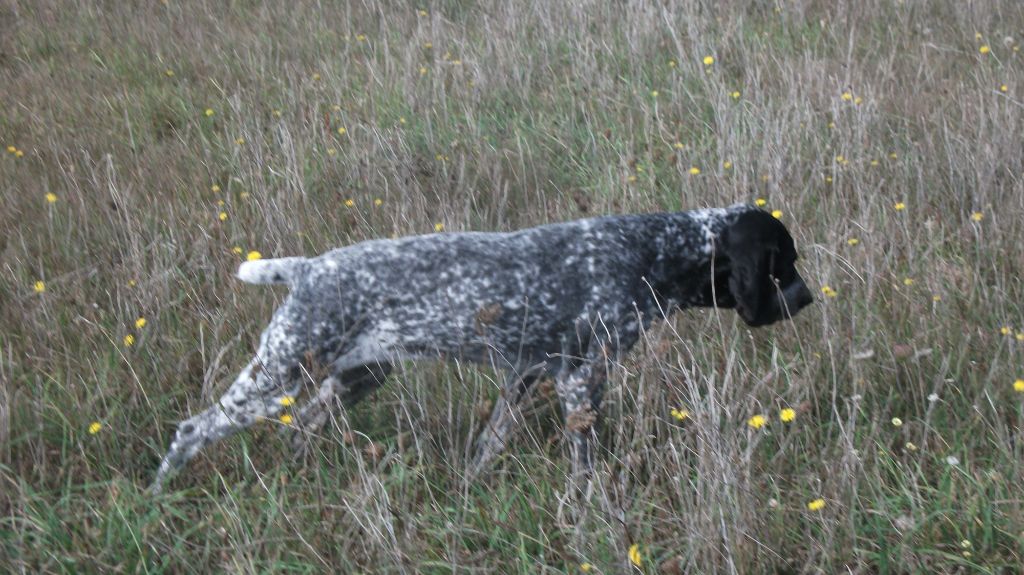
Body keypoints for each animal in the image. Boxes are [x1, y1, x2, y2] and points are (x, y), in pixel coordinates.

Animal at [148, 203, 811, 491]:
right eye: (785, 262)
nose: (807, 298)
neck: (652, 251)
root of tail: (309, 268)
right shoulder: (581, 380)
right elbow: (584, 465)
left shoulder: (528, 375)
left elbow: (488, 444)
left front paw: (467, 490)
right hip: (279, 373)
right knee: (193, 428)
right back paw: (157, 493)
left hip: (357, 375)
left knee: (302, 425)